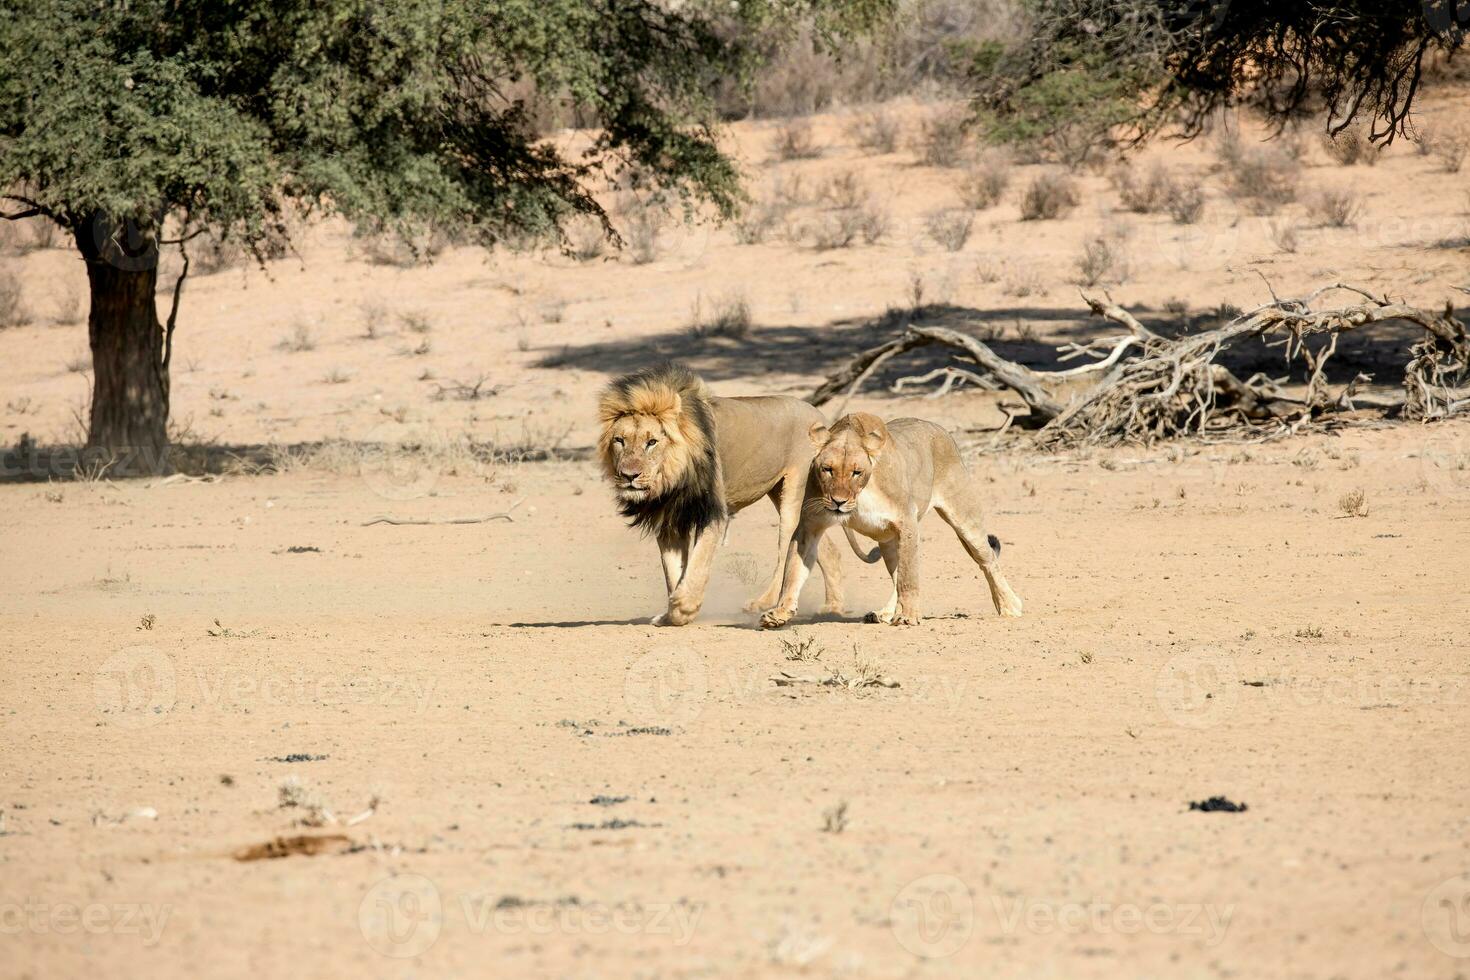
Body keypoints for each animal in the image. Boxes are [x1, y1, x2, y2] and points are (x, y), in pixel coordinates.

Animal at [596, 362, 846, 628]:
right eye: (619, 440)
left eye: (651, 442)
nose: (629, 475)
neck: (672, 478)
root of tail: (820, 417)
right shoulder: (670, 521)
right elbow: (673, 571)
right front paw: (671, 614)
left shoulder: (712, 513)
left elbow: (697, 566)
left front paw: (684, 606)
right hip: (786, 496)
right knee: (826, 549)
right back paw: (833, 607)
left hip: (794, 498)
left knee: (787, 552)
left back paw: (763, 604)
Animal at [758, 411, 1023, 628]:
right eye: (828, 469)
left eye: (856, 472)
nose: (838, 502)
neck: (861, 493)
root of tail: (940, 429)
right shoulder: (809, 526)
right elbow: (793, 571)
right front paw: (778, 613)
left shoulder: (907, 522)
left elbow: (909, 576)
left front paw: (908, 616)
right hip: (886, 540)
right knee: (896, 573)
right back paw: (884, 613)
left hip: (964, 516)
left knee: (988, 560)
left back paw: (1009, 605)